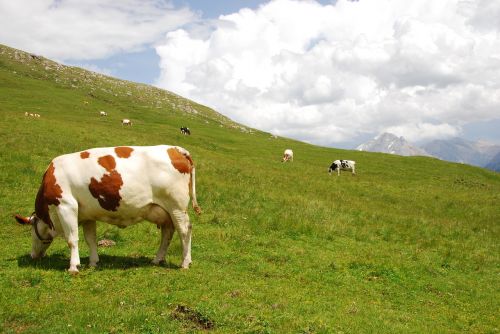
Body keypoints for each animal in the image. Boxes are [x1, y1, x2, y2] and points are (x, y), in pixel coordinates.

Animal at [14, 144, 201, 274]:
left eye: (31, 232)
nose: (33, 256)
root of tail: (175, 149)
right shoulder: (87, 214)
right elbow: (90, 239)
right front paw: (93, 262)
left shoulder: (67, 206)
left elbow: (72, 239)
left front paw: (74, 266)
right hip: (164, 211)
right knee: (168, 233)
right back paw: (157, 259)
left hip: (176, 206)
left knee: (185, 231)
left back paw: (185, 262)